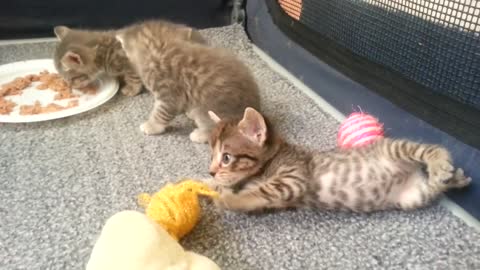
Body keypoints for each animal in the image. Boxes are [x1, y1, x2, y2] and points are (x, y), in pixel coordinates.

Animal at [115, 20, 260, 143]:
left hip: (207, 110)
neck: (160, 48)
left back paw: (200, 134)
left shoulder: (170, 93)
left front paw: (152, 126)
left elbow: (161, 113)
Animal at [207, 107, 472, 213]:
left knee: (428, 149)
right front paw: (213, 187)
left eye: (226, 157)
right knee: (432, 187)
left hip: (395, 148)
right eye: (212, 156)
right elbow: (253, 195)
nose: (211, 171)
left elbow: (260, 191)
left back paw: (440, 163)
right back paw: (454, 179)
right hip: (412, 197)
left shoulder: (293, 178)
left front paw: (227, 199)